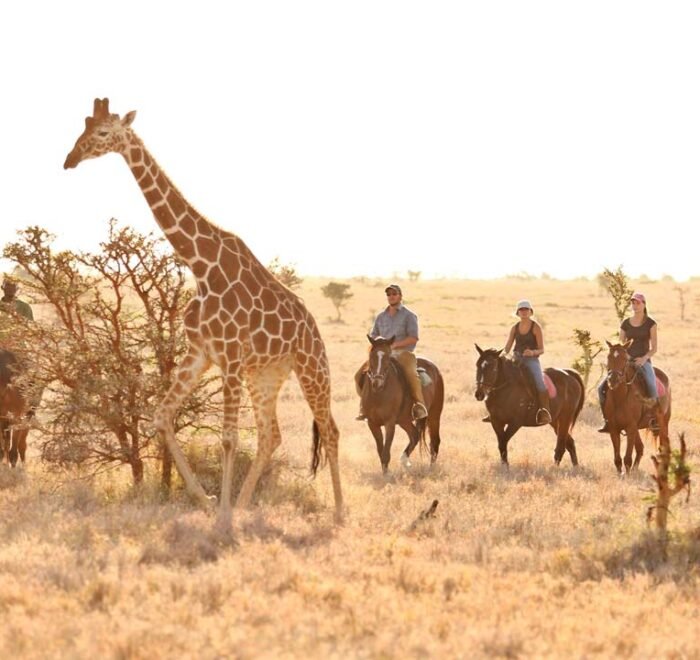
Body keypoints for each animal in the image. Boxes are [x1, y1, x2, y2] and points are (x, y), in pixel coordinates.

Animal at [63, 98, 342, 528]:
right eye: (82, 128)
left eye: (104, 133)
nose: (70, 159)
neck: (200, 265)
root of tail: (313, 328)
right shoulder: (201, 353)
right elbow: (162, 417)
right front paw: (210, 502)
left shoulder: (229, 355)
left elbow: (227, 438)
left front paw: (222, 519)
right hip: (265, 374)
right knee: (271, 435)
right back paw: (244, 505)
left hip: (311, 365)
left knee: (329, 429)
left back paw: (340, 513)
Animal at [360, 336, 442, 474]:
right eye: (371, 356)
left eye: (388, 358)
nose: (377, 383)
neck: (379, 394)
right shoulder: (372, 423)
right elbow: (380, 451)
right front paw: (385, 472)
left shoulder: (390, 423)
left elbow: (386, 452)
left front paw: (386, 475)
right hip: (404, 420)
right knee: (414, 435)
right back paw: (405, 460)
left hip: (434, 415)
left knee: (434, 441)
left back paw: (431, 469)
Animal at [600, 340, 672, 474]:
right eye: (608, 357)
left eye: (625, 359)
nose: (613, 380)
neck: (620, 398)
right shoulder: (614, 428)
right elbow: (617, 457)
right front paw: (621, 473)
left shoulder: (631, 427)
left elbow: (627, 457)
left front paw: (627, 475)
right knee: (640, 448)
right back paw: (635, 469)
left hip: (663, 422)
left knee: (664, 446)